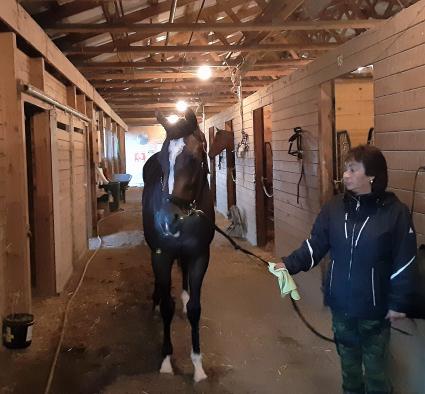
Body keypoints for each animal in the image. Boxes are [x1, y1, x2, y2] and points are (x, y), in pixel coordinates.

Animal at [142, 107, 215, 382]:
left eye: (194, 159)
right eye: (163, 162)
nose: (166, 220)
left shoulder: (199, 256)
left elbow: (195, 308)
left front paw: (197, 365)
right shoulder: (161, 256)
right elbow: (166, 307)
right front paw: (166, 360)